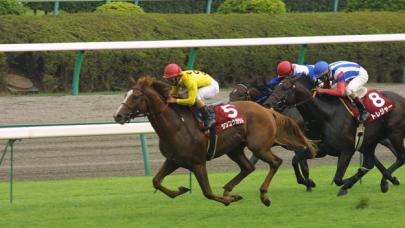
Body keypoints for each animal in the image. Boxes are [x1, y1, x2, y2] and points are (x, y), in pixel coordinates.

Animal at [113, 76, 316, 207]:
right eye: (125, 95)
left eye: (136, 96)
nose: (118, 116)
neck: (176, 126)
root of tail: (266, 109)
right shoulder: (173, 160)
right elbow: (156, 181)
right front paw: (181, 189)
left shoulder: (197, 162)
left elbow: (208, 193)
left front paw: (229, 200)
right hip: (235, 149)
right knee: (248, 167)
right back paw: (228, 189)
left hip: (258, 146)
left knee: (275, 162)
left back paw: (264, 196)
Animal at [264, 77, 404, 196]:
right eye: (275, 87)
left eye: (285, 88)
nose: (267, 104)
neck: (326, 116)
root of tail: (400, 98)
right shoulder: (319, 149)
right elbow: (295, 161)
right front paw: (309, 182)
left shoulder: (347, 150)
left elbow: (338, 179)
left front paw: (345, 184)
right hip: (371, 141)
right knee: (369, 164)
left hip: (395, 133)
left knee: (400, 158)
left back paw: (385, 182)